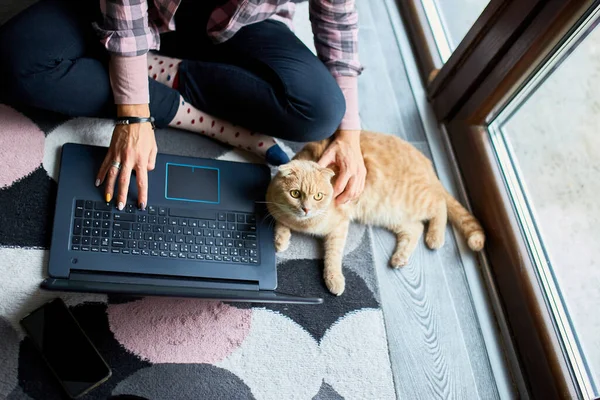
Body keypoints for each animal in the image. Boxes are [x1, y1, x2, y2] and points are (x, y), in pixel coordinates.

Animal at [264, 130, 486, 294]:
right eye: (295, 193)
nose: (306, 208)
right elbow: (280, 221)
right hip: (389, 214)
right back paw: (400, 257)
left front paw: (334, 279)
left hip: (415, 200)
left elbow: (333, 255)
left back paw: (435, 237)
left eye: (318, 196)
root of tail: (428, 164)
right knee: (414, 228)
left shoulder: (339, 227)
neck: (304, 223)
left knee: (439, 205)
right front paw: (280, 239)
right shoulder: (275, 207)